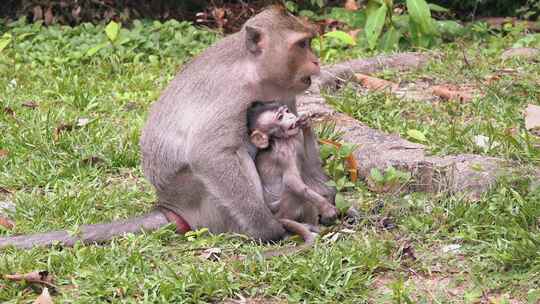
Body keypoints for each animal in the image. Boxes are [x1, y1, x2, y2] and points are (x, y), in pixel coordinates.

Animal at [141, 5, 332, 242]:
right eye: (302, 44)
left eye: (308, 43)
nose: (316, 61)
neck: (254, 71)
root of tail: (170, 206)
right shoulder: (232, 94)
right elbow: (207, 154)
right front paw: (269, 228)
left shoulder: (284, 93)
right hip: (200, 199)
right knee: (236, 153)